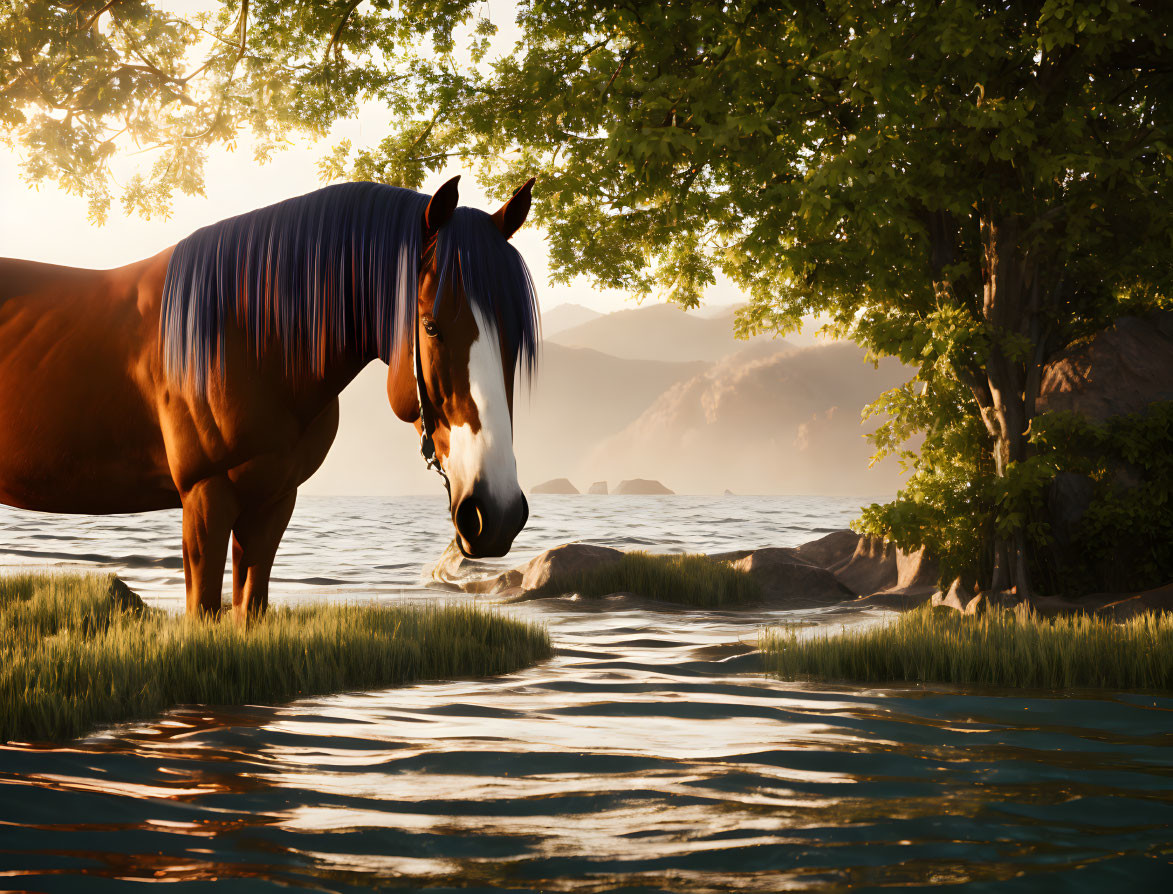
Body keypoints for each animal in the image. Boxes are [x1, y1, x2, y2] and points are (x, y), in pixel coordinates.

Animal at [0, 177, 539, 614]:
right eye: (430, 326)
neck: (246, 337)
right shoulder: (205, 496)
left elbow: (250, 609)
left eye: (514, 337)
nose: (496, 513)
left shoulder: (274, 500)